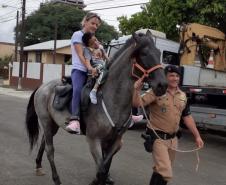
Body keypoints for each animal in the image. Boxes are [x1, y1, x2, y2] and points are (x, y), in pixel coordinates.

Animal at [24, 30, 168, 185]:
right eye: (144, 53)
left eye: (159, 52)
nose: (163, 85)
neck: (112, 99)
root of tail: (42, 86)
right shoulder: (93, 140)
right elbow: (102, 170)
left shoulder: (114, 140)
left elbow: (105, 166)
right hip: (45, 121)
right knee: (50, 150)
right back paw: (56, 179)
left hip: (53, 124)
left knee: (44, 143)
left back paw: (38, 166)